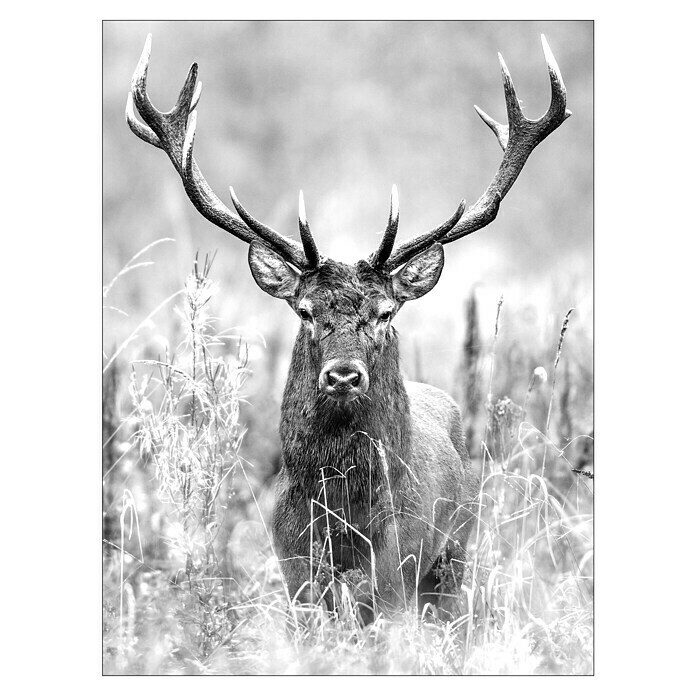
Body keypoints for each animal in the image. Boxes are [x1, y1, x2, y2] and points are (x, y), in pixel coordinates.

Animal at [126, 33, 570, 621]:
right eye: (306, 311)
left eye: (385, 312)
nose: (342, 376)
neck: (342, 508)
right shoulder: (292, 562)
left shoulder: (399, 563)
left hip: (456, 551)